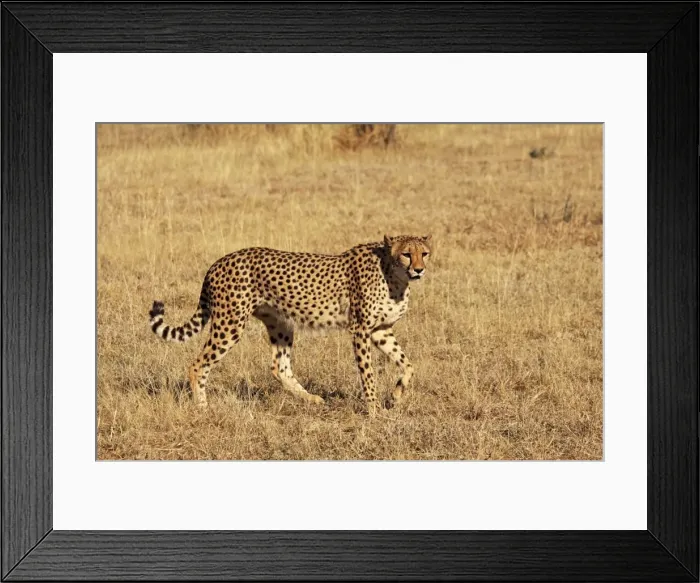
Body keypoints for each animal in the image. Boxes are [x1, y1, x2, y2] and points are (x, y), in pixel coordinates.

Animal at [149, 234, 432, 415]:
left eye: (425, 254)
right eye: (407, 254)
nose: (419, 269)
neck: (393, 276)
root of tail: (219, 261)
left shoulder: (380, 330)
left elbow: (409, 365)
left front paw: (396, 395)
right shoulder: (360, 330)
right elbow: (368, 373)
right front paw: (373, 411)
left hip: (280, 323)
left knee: (279, 367)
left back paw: (313, 399)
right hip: (230, 323)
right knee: (197, 365)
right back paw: (203, 408)